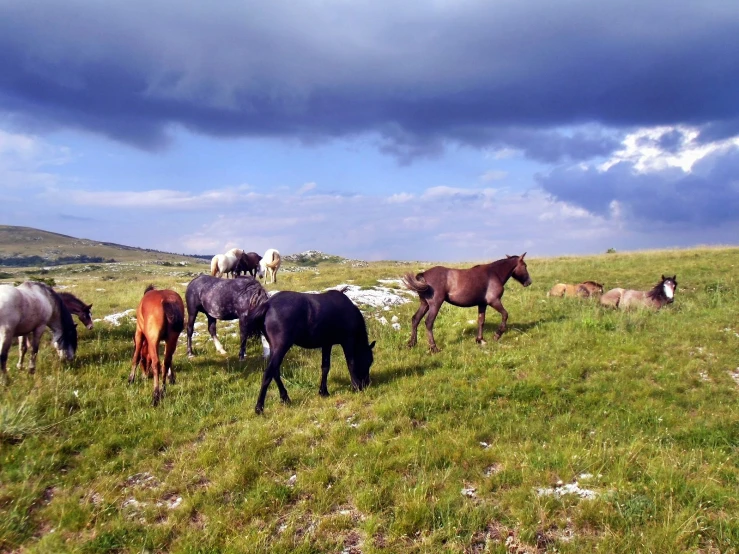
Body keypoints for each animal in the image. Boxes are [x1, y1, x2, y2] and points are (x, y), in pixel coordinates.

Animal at [247, 286, 376, 412]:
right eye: (368, 361)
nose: (367, 383)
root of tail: (268, 304)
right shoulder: (348, 341)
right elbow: (351, 363)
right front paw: (356, 387)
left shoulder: (327, 343)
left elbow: (325, 367)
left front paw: (323, 391)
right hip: (281, 346)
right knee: (269, 373)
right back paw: (259, 407)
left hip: (275, 347)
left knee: (275, 371)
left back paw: (285, 397)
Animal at [404, 253, 532, 352]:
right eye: (525, 266)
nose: (529, 282)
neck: (494, 273)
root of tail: (423, 274)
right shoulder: (494, 301)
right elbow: (505, 314)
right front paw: (497, 335)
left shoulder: (482, 304)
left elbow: (481, 321)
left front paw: (480, 339)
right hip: (435, 304)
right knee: (429, 322)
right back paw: (433, 347)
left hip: (424, 304)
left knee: (415, 319)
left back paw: (412, 343)